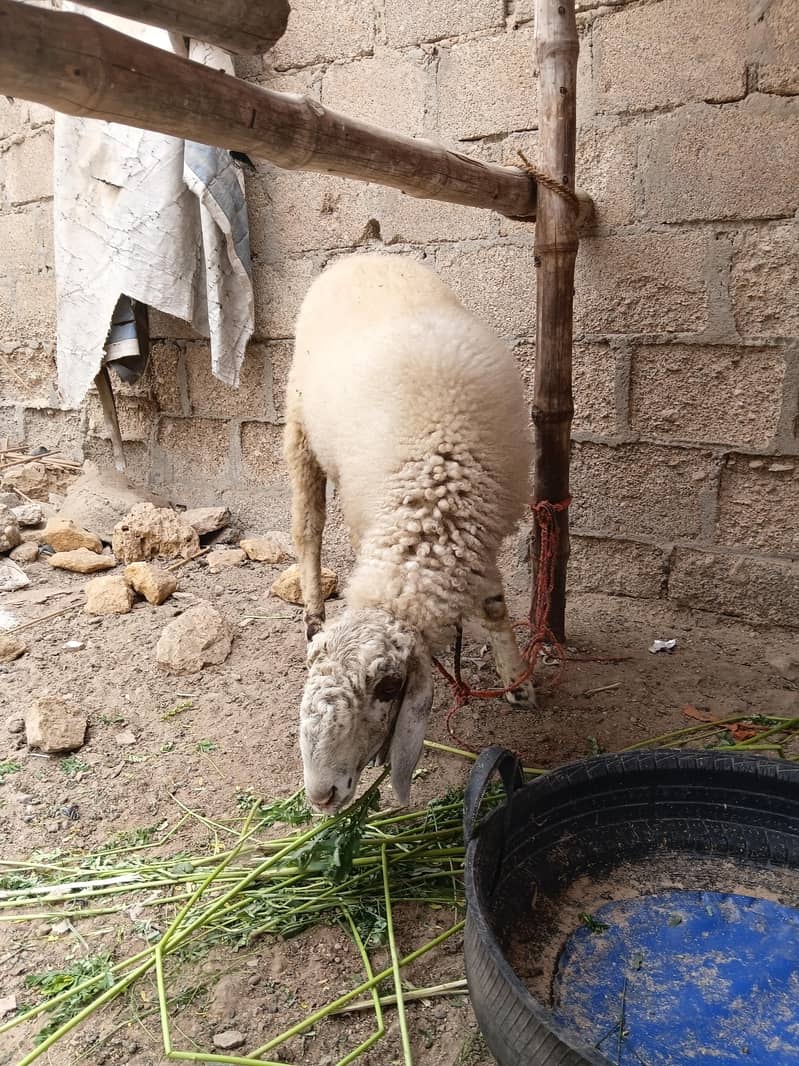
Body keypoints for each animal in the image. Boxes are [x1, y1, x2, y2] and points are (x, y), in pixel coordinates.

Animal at [284, 252, 534, 813]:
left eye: (388, 686)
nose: (321, 795)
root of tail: (362, 253)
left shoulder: (480, 533)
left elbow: (494, 607)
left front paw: (518, 683)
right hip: (299, 428)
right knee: (308, 528)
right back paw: (312, 609)